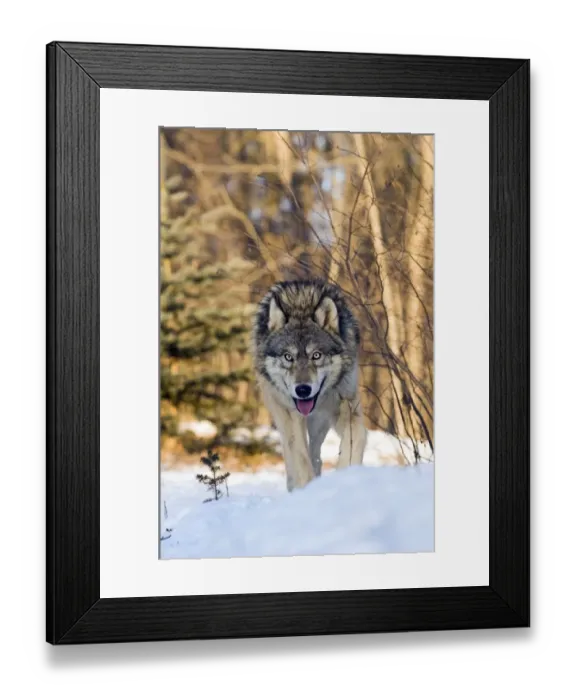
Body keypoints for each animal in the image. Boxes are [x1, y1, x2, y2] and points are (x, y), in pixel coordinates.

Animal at [252, 279, 367, 492]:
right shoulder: (291, 414)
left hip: (319, 424)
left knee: (315, 451)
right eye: (288, 357)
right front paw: (305, 488)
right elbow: (299, 456)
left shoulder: (346, 404)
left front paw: (345, 474)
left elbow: (357, 437)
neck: (301, 307)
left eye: (316, 355)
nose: (303, 390)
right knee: (293, 451)